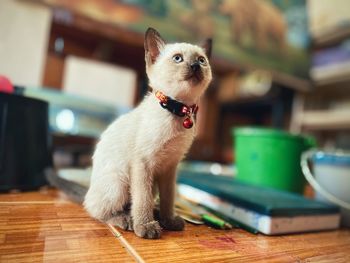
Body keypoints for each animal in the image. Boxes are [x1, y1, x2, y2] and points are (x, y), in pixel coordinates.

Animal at [83, 27, 212, 240]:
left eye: (201, 60)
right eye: (178, 58)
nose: (195, 66)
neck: (178, 109)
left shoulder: (170, 168)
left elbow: (169, 198)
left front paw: (168, 220)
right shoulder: (143, 164)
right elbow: (142, 200)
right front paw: (146, 226)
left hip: (151, 185)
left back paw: (155, 215)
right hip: (120, 181)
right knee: (96, 210)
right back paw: (126, 220)